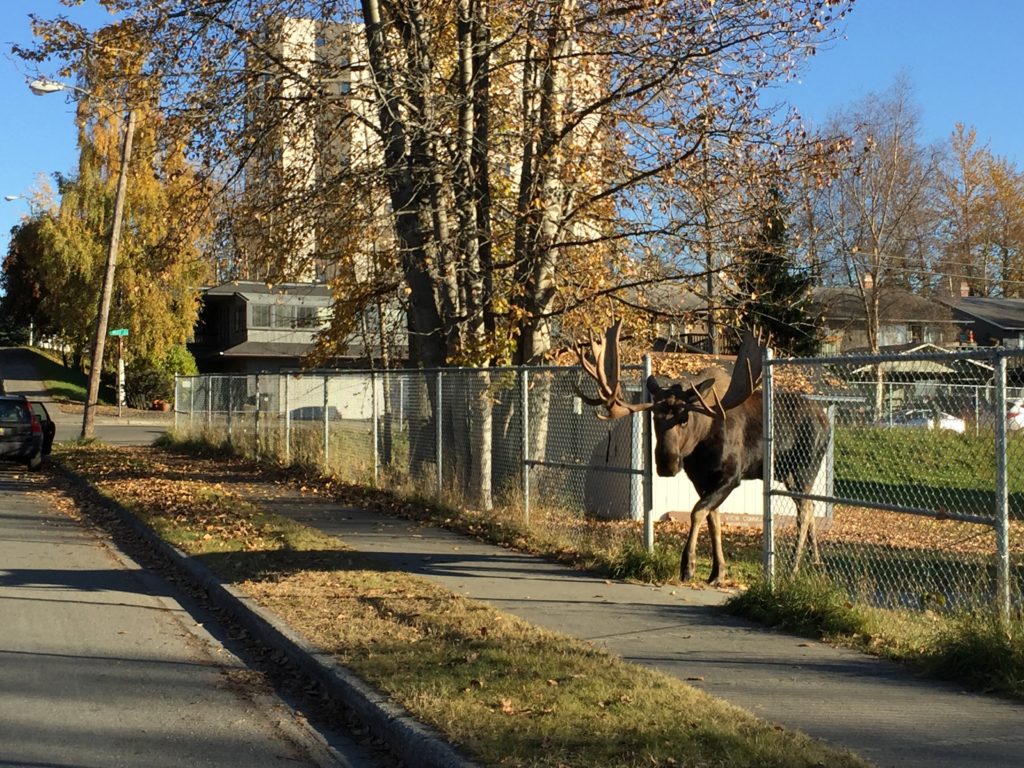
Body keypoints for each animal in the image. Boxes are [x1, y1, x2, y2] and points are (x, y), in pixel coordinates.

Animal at [581, 319, 827, 581]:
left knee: (805, 510)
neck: (701, 445)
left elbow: (697, 512)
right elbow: (713, 518)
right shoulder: (700, 478)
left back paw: (793, 567)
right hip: (789, 474)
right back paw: (816, 562)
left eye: (684, 418)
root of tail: (827, 421)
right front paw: (718, 571)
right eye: (655, 417)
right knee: (809, 507)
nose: (667, 464)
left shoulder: (731, 476)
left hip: (804, 469)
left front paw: (688, 565)